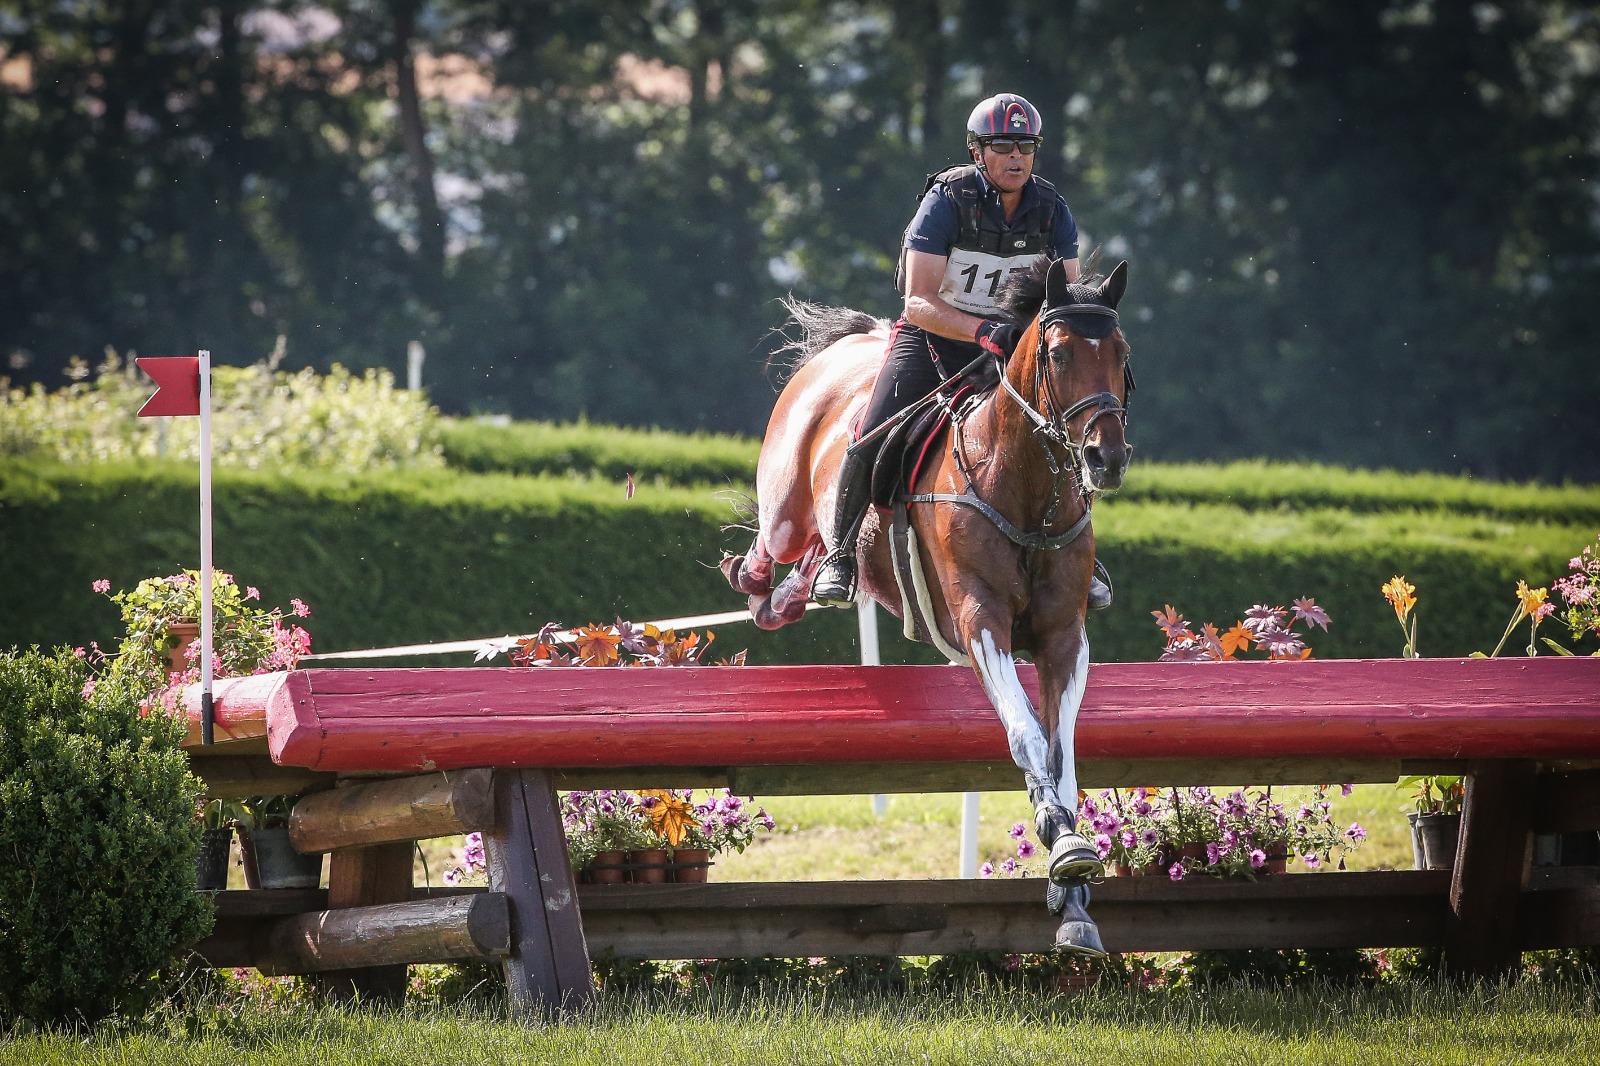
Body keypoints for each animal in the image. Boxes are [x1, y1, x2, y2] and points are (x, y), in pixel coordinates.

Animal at [726, 256, 1139, 947]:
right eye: (1057, 354)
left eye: (1120, 353)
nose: (1104, 458)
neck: (1024, 487)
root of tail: (850, 343)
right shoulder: (981, 623)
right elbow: (1026, 735)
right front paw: (1062, 845)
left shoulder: (1064, 636)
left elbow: (1061, 753)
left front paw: (1074, 893)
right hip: (786, 502)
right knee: (778, 539)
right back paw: (761, 584)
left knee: (816, 554)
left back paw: (802, 589)